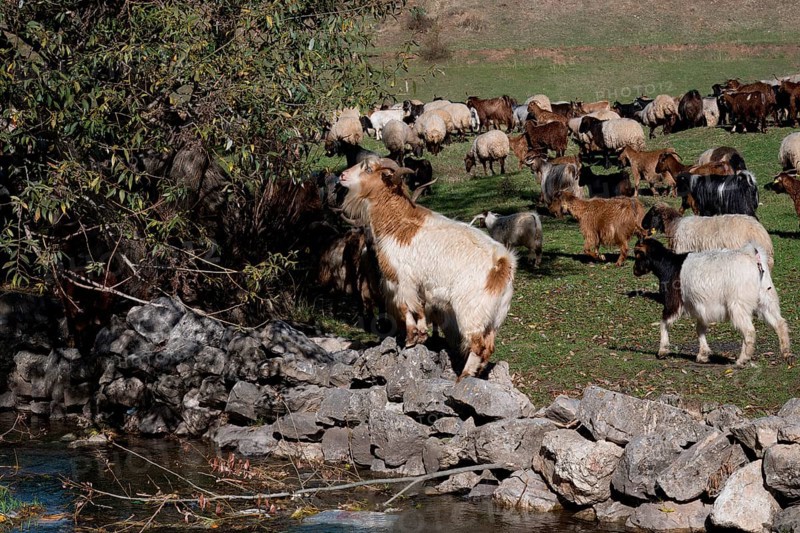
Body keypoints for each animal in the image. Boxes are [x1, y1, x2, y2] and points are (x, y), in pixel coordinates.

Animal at [339, 156, 517, 381]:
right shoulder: (420, 286)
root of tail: (502, 263)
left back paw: (463, 377)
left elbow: (405, 306)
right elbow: (420, 307)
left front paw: (410, 339)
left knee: (477, 346)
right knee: (489, 347)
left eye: (369, 169)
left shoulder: (401, 279)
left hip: (471, 313)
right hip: (495, 317)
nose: (342, 175)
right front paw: (421, 334)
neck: (399, 223)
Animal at [633, 238, 790, 366]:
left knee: (749, 331)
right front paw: (703, 355)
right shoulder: (701, 306)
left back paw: (742, 360)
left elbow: (664, 323)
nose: (634, 271)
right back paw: (786, 353)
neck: (670, 265)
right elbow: (700, 329)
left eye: (637, 254)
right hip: (766, 299)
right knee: (779, 323)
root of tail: (753, 256)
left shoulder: (673, 302)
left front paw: (662, 351)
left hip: (738, 305)